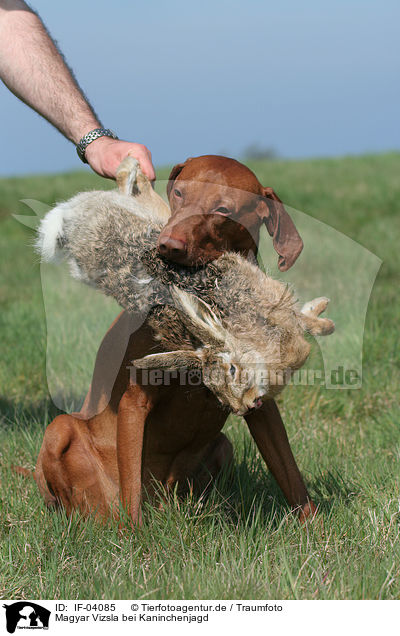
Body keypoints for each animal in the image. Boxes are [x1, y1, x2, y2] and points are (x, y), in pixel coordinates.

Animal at [32, 157, 316, 524]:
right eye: (179, 193)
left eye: (224, 209)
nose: (166, 245)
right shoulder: (135, 399)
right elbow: (132, 491)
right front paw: (133, 537)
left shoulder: (262, 405)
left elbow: (291, 475)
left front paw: (315, 529)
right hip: (61, 428)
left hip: (222, 446)